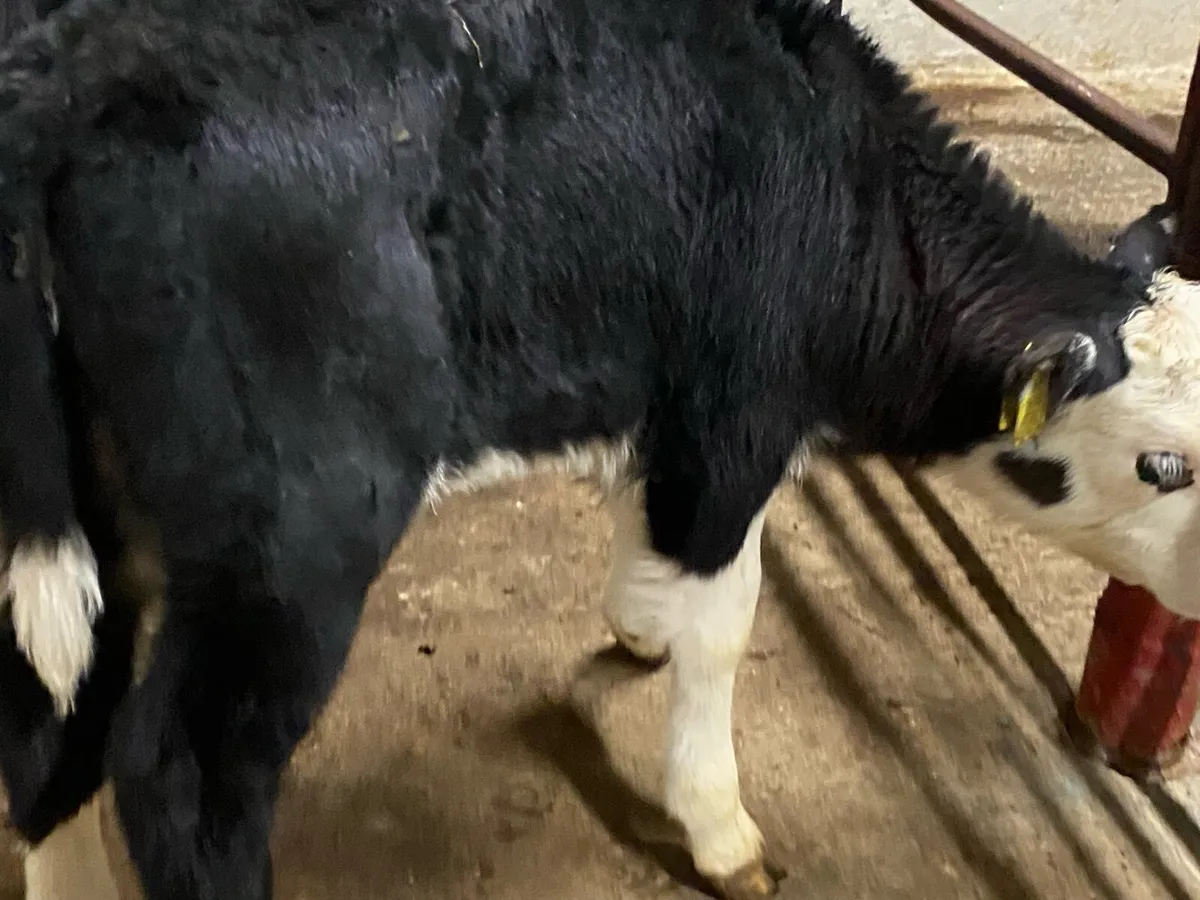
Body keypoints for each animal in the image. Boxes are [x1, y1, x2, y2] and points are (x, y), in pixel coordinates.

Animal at [0, 1, 1196, 899]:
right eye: (1166, 464)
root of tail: (68, 73)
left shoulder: (657, 390)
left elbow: (648, 531)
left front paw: (636, 623)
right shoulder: (736, 416)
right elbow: (726, 621)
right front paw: (717, 824)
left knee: (57, 712)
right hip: (297, 531)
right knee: (183, 775)